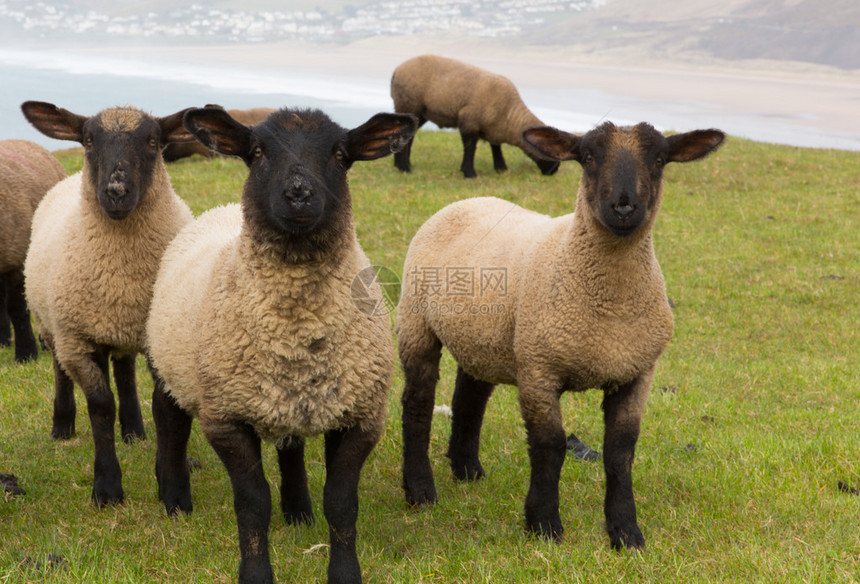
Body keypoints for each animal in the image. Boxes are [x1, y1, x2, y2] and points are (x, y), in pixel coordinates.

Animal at [19, 100, 195, 506]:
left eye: (153, 141)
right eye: (87, 140)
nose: (115, 191)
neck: (121, 278)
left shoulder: (157, 336)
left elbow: (163, 408)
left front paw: (170, 485)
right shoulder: (79, 340)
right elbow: (101, 407)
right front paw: (107, 487)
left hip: (123, 329)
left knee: (125, 370)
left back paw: (133, 430)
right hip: (52, 325)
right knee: (60, 369)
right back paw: (62, 425)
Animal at [149, 106, 420, 584]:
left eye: (340, 154)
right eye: (257, 152)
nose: (298, 194)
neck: (299, 328)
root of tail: (218, 211)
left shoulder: (361, 417)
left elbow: (342, 504)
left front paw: (344, 573)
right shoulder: (226, 417)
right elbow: (253, 503)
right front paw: (256, 574)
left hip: (284, 398)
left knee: (290, 445)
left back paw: (298, 512)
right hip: (172, 364)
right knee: (170, 422)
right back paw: (176, 499)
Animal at [392, 54, 564, 178]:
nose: (554, 171)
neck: (509, 115)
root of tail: (396, 71)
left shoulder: (493, 128)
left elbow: (496, 147)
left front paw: (501, 169)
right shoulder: (469, 121)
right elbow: (470, 147)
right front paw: (469, 173)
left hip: (419, 113)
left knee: (408, 136)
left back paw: (402, 165)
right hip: (408, 105)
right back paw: (404, 168)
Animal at [398, 121, 724, 548]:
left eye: (659, 159)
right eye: (587, 157)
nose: (623, 207)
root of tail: (467, 201)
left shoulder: (637, 372)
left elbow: (620, 452)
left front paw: (625, 532)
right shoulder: (539, 370)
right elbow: (550, 446)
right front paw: (544, 524)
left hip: (483, 337)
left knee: (469, 398)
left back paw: (467, 470)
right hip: (416, 320)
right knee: (417, 404)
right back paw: (420, 490)